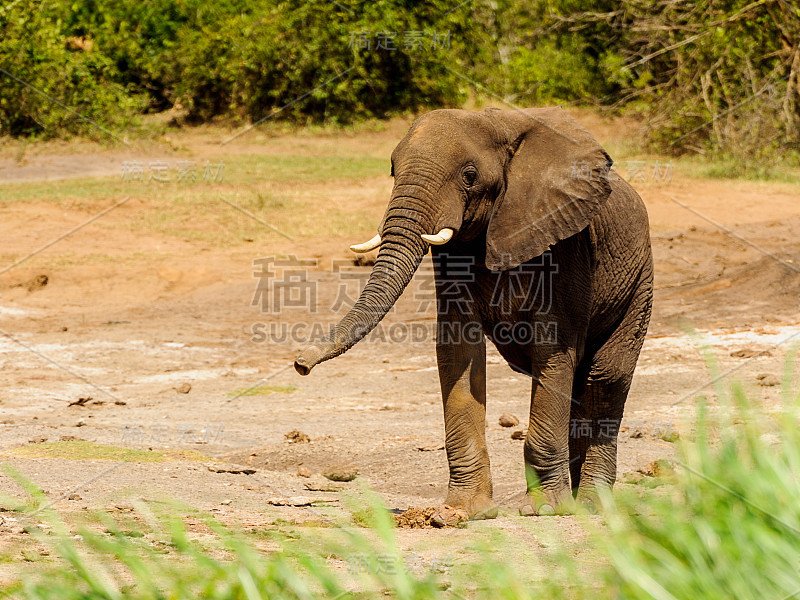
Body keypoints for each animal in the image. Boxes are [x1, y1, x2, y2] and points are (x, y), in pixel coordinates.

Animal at [296, 106, 652, 516]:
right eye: (392, 170)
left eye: (469, 175)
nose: (301, 364)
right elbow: (458, 348)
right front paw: (463, 511)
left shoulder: (567, 244)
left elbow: (554, 349)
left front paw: (544, 510)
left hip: (640, 281)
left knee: (605, 377)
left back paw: (592, 506)